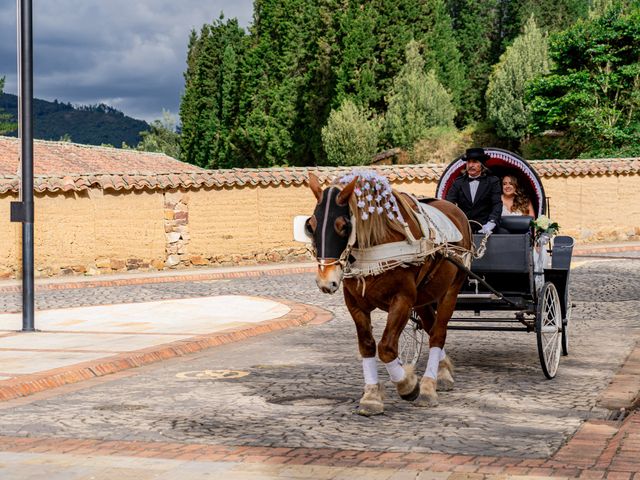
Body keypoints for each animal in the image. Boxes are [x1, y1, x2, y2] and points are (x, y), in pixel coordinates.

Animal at [304, 171, 476, 414]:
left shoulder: (402, 299)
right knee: (431, 327)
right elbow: (367, 346)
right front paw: (372, 395)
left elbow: (386, 347)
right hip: (424, 297)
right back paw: (443, 370)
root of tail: (456, 211)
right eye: (310, 225)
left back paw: (429, 385)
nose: (325, 281)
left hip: (452, 289)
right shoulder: (354, 302)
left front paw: (407, 384)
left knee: (438, 334)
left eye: (343, 226)